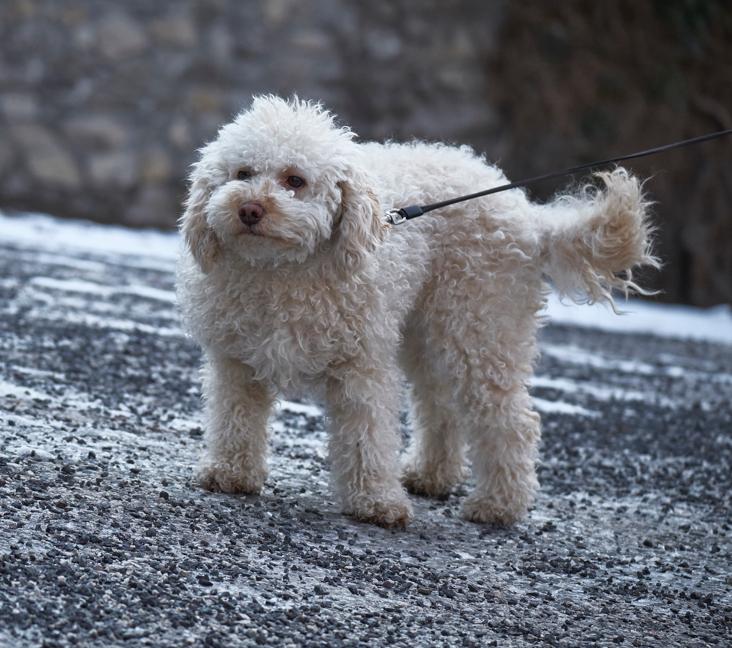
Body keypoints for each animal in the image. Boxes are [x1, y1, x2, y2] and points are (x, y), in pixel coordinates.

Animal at [177, 98, 656, 528]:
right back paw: (431, 476)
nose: (249, 209)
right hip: (429, 336)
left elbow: (367, 436)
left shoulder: (363, 367)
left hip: (480, 330)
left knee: (511, 420)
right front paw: (231, 473)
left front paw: (375, 502)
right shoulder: (236, 361)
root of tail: (528, 217)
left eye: (295, 180)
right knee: (440, 406)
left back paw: (499, 506)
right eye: (243, 174)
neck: (281, 273)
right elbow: (236, 418)